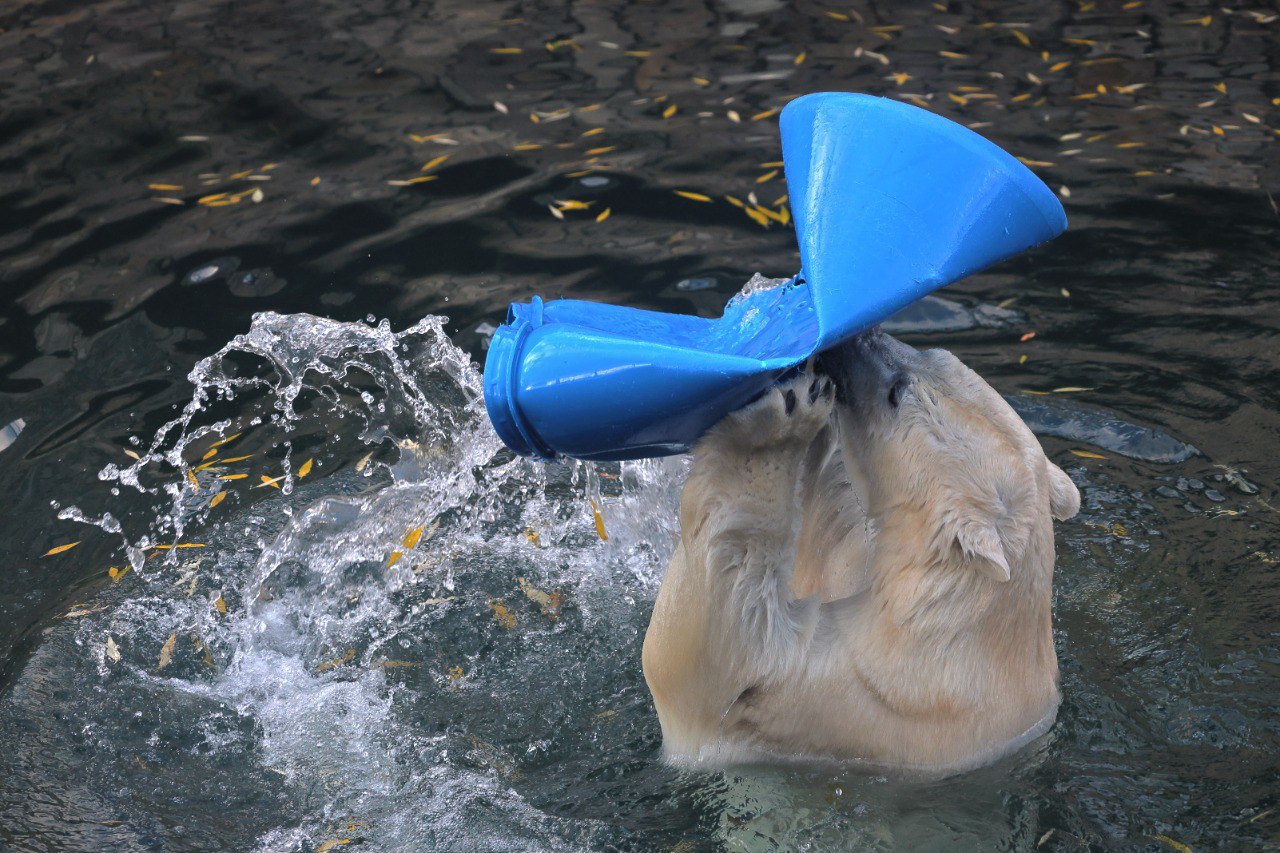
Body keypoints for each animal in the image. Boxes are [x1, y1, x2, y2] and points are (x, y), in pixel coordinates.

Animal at [640, 327, 1080, 773]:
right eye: (934, 353)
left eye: (896, 392)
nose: (856, 341)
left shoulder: (844, 698)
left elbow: (698, 658)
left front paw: (782, 421)